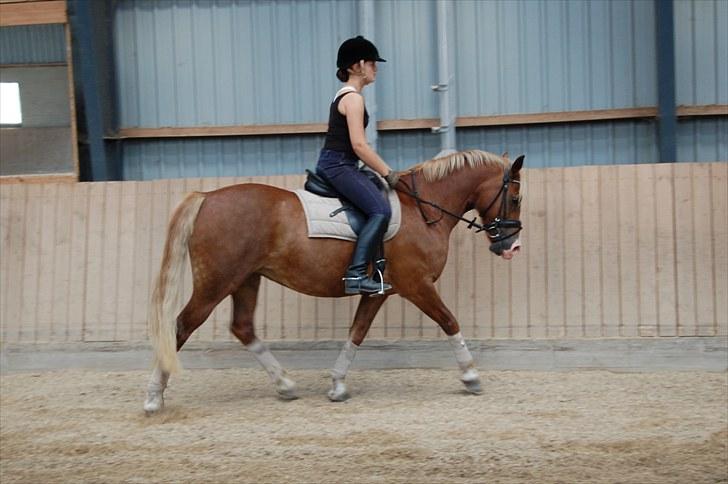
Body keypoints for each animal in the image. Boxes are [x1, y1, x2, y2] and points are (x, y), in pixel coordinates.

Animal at [143, 149, 524, 413]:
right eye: (516, 197)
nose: (511, 247)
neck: (423, 210)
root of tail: (206, 197)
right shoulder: (417, 285)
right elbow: (449, 321)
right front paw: (471, 376)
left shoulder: (380, 291)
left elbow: (357, 332)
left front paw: (338, 385)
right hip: (216, 282)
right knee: (180, 326)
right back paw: (153, 398)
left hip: (246, 279)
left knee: (243, 327)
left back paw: (285, 385)